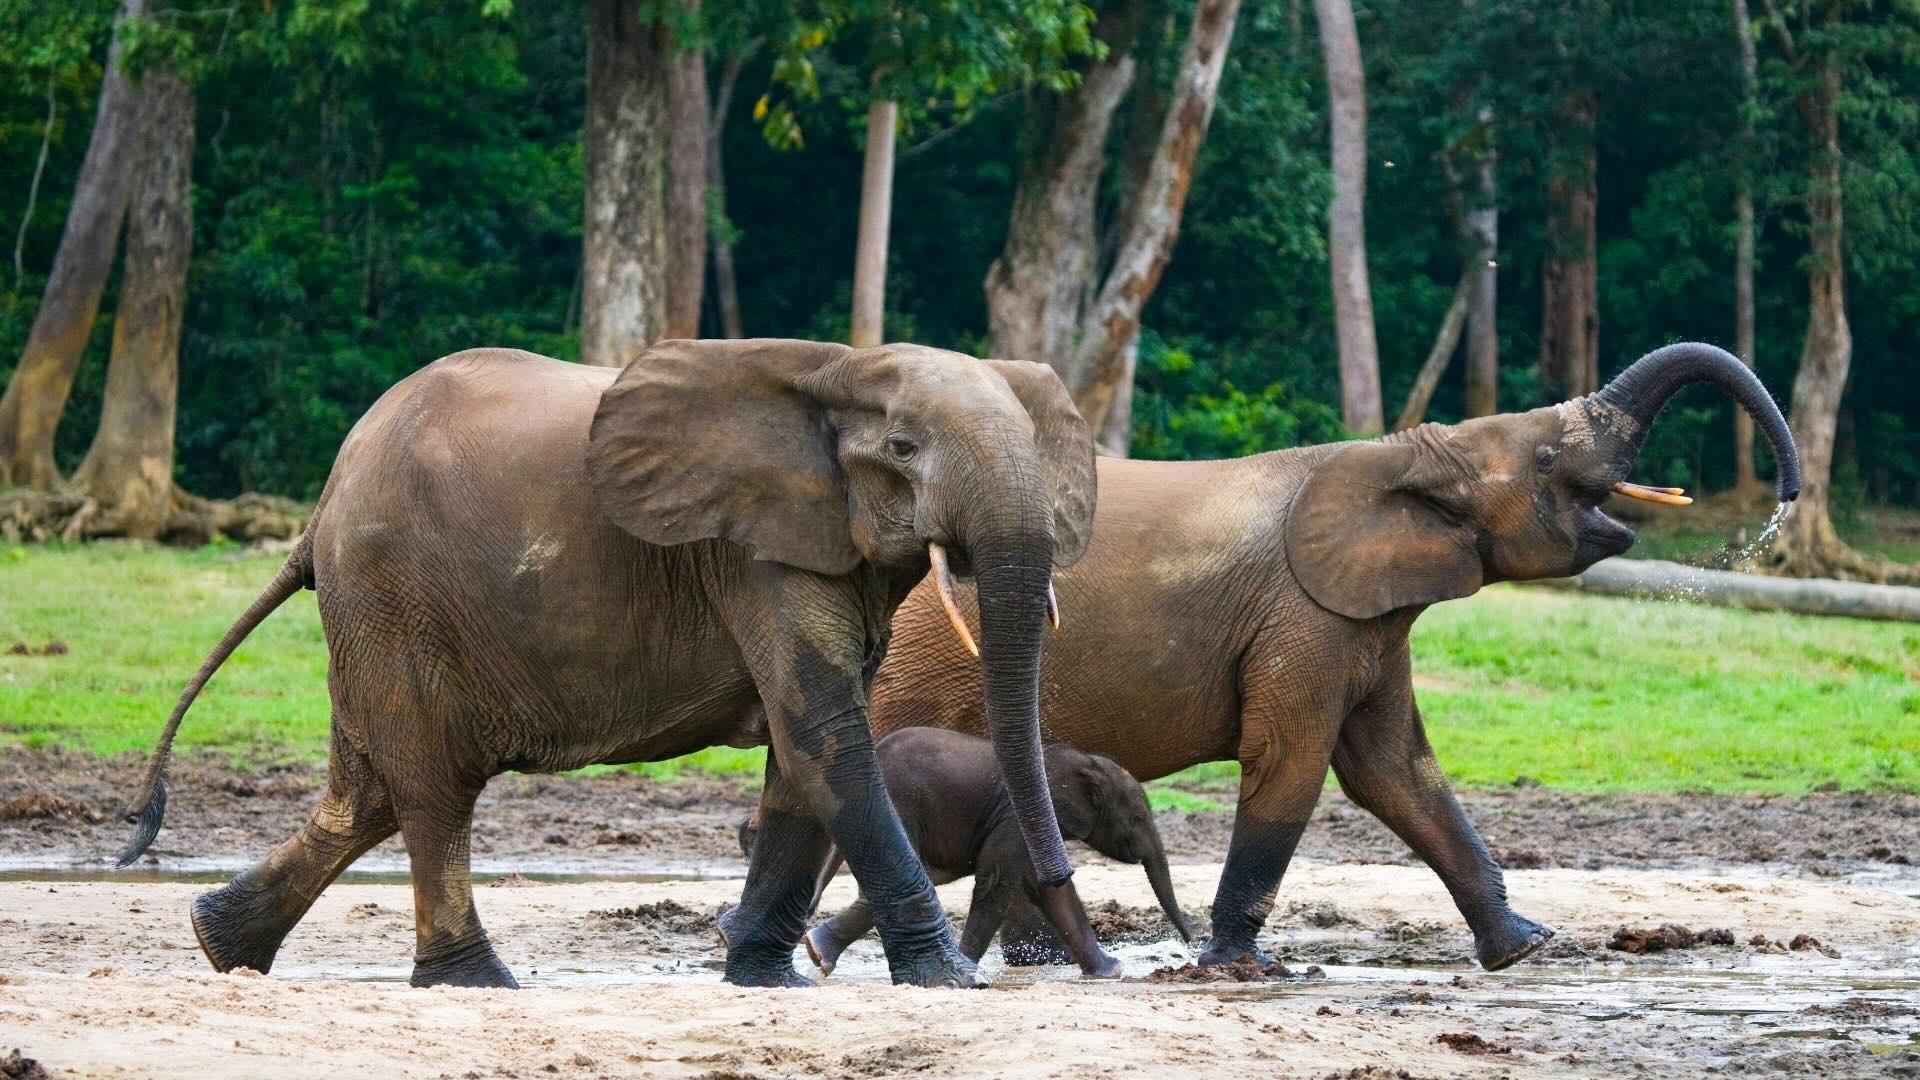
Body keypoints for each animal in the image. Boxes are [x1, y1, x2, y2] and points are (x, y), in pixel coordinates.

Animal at [112, 338, 1101, 990]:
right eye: (902, 449)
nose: (1058, 879)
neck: (837, 371)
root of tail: (324, 498)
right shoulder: (749, 549)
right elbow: (825, 733)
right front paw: (948, 982)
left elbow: (803, 751)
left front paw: (762, 981)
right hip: (393, 596)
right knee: (431, 788)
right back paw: (474, 983)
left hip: (376, 611)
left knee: (367, 793)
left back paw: (220, 945)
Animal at [752, 727, 1194, 979]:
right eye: (1137, 817)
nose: (1192, 946)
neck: (1084, 763)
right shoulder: (1016, 819)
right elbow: (996, 883)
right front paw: (965, 969)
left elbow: (1050, 891)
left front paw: (1111, 973)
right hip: (900, 801)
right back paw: (820, 953)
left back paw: (818, 953)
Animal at [841, 342, 1802, 972]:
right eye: (1546, 457)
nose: (1786, 501)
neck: (1399, 455)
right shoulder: (1305, 617)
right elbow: (1294, 765)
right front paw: (1238, 967)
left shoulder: (1367, 621)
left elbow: (1398, 773)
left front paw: (1525, 950)